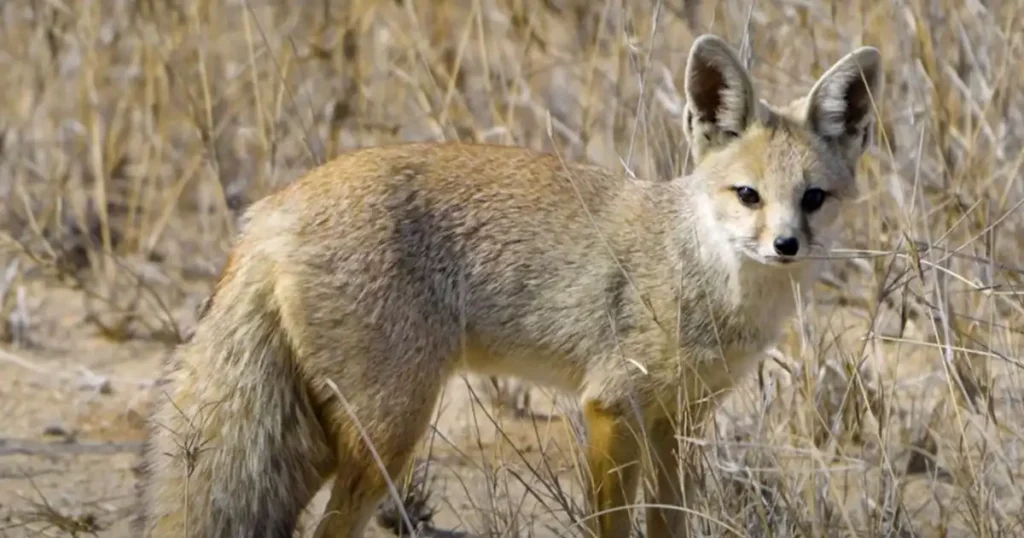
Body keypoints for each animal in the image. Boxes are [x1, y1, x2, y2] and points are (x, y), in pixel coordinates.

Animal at [136, 34, 884, 536]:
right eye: (748, 196)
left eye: (813, 200)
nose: (785, 246)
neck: (702, 276)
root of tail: (272, 206)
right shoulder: (610, 406)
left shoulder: (676, 421)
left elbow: (668, 521)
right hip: (387, 436)